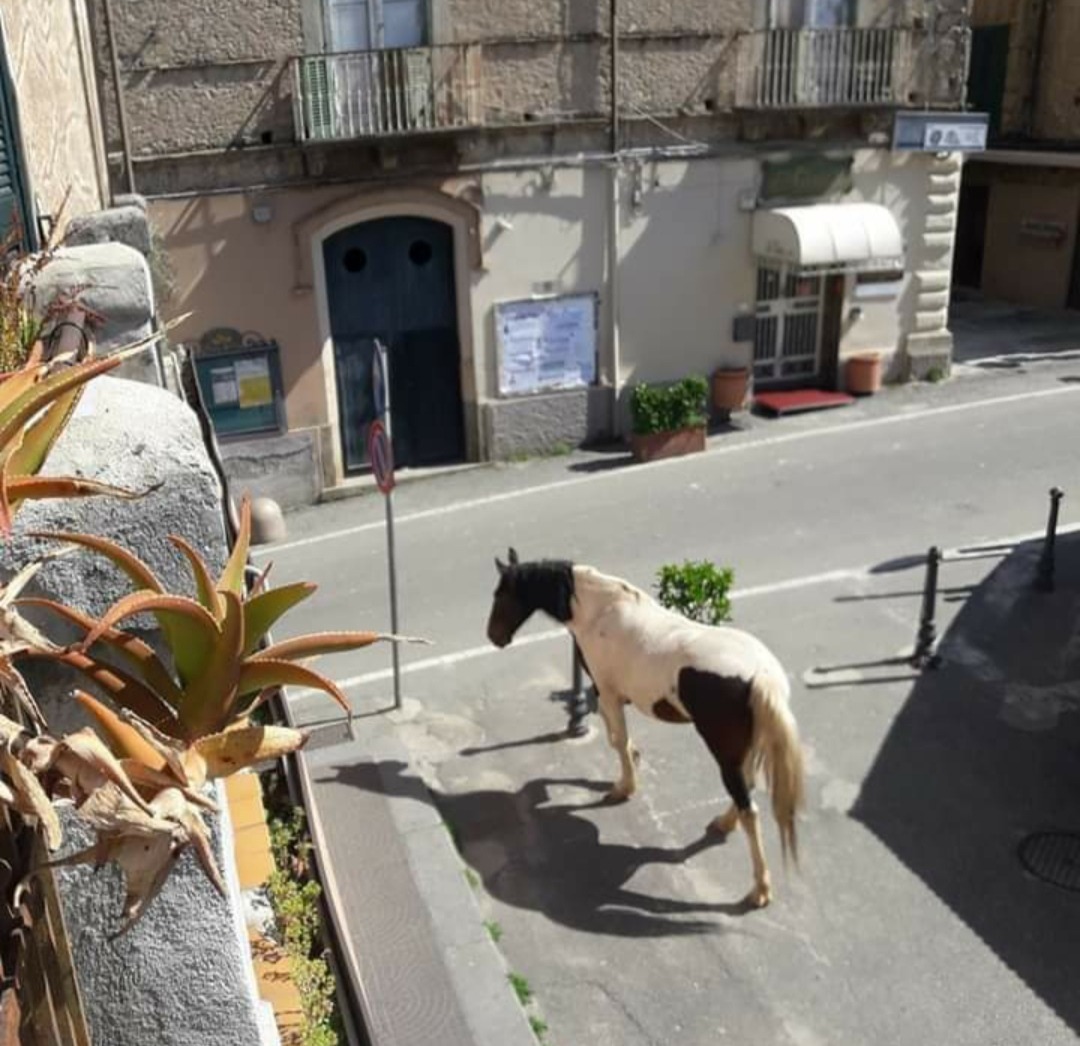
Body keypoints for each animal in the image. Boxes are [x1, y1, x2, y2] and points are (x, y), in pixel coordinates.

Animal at [486, 546, 807, 906]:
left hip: (723, 751)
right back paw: (724, 824)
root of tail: (760, 674)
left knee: (748, 808)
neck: (599, 609)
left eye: (501, 593)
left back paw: (759, 889)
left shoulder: (608, 693)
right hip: (743, 747)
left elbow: (616, 739)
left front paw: (623, 787)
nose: (494, 636)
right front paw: (631, 766)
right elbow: (620, 739)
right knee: (746, 788)